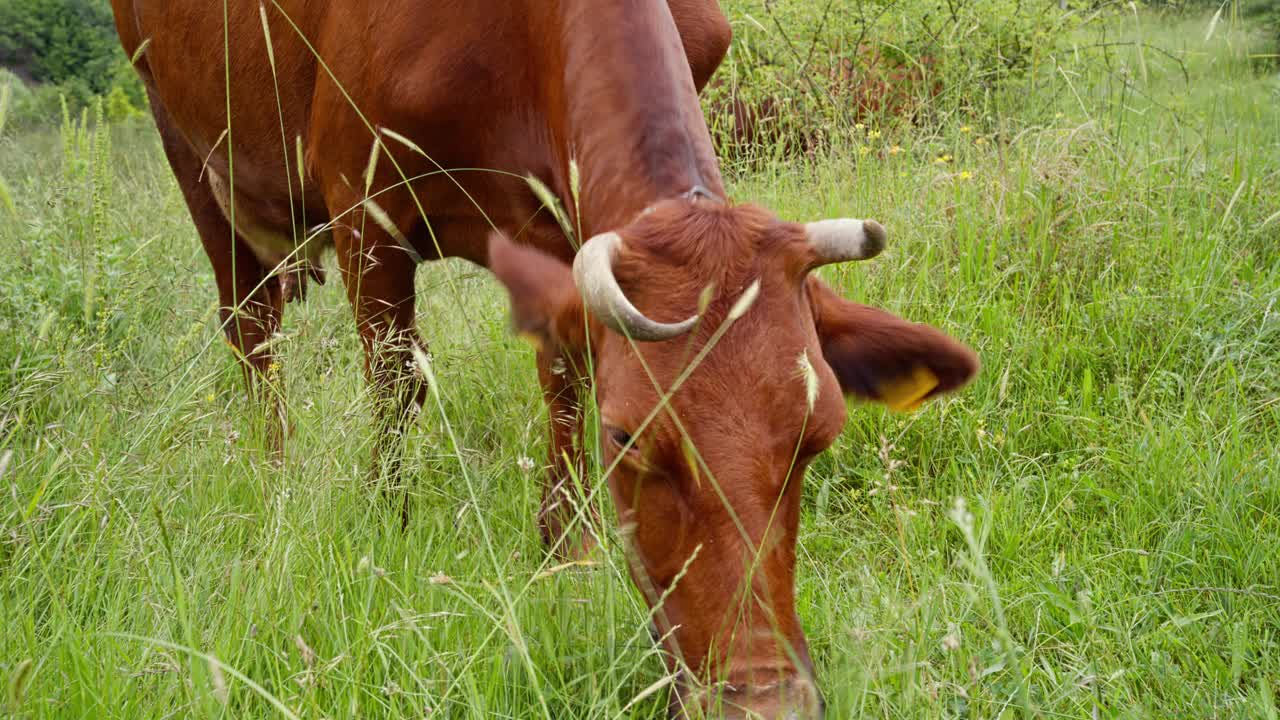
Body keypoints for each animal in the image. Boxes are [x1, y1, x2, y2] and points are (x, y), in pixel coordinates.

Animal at [115, 2, 977, 712]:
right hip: (182, 131)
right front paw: (390, 526)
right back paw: (274, 471)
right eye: (629, 438)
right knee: (252, 330)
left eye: (817, 437)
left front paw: (566, 554)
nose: (761, 700)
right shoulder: (363, 205)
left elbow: (564, 384)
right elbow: (395, 384)